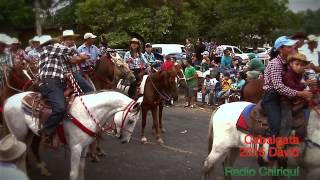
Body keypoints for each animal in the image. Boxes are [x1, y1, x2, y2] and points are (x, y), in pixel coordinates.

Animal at [3, 90, 143, 179]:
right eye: (131, 121)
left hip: (28, 134)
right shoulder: (76, 148)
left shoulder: (84, 147)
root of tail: (8, 100)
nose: (125, 140)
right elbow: (73, 173)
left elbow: (81, 168)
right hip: (18, 135)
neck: (87, 113)